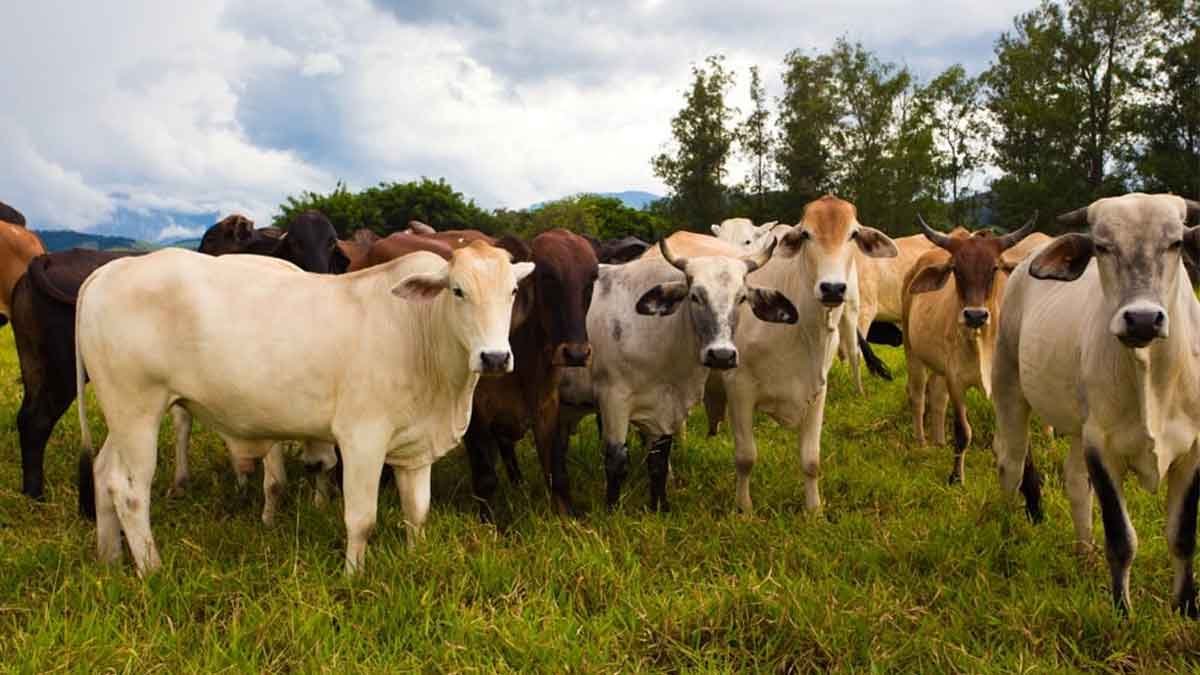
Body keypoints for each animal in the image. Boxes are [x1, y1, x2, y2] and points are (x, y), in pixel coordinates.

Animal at [76, 243, 534, 575]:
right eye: (458, 290)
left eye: (512, 291)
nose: (495, 357)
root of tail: (110, 270)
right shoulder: (362, 438)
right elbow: (361, 519)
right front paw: (353, 576)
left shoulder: (415, 447)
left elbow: (417, 513)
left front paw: (414, 559)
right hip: (138, 410)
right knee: (130, 491)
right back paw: (151, 570)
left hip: (122, 416)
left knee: (103, 474)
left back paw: (108, 558)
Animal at [571, 231, 797, 511]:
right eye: (695, 296)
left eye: (741, 298)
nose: (721, 355)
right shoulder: (612, 397)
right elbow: (616, 461)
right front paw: (611, 510)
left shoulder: (666, 406)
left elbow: (658, 461)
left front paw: (660, 506)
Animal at [720, 195, 897, 513]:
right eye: (806, 234)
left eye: (853, 234)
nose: (832, 288)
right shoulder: (738, 387)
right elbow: (746, 457)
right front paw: (744, 509)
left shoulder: (817, 390)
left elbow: (811, 460)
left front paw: (814, 511)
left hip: (852, 314)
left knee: (855, 355)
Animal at [901, 216, 1037, 485]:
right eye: (955, 269)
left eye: (994, 268)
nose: (975, 315)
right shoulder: (956, 381)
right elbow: (963, 432)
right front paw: (956, 477)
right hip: (912, 352)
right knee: (918, 396)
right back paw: (922, 442)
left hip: (938, 367)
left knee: (937, 397)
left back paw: (939, 441)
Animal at [992, 193, 1200, 616]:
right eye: (1103, 246)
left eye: (1175, 243)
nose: (1142, 319)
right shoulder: (1101, 446)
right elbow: (1122, 539)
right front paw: (1122, 612)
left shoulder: (1194, 451)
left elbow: (1183, 535)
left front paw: (1186, 608)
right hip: (1009, 386)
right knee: (1012, 462)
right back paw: (1007, 528)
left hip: (1076, 425)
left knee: (1074, 482)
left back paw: (1084, 553)